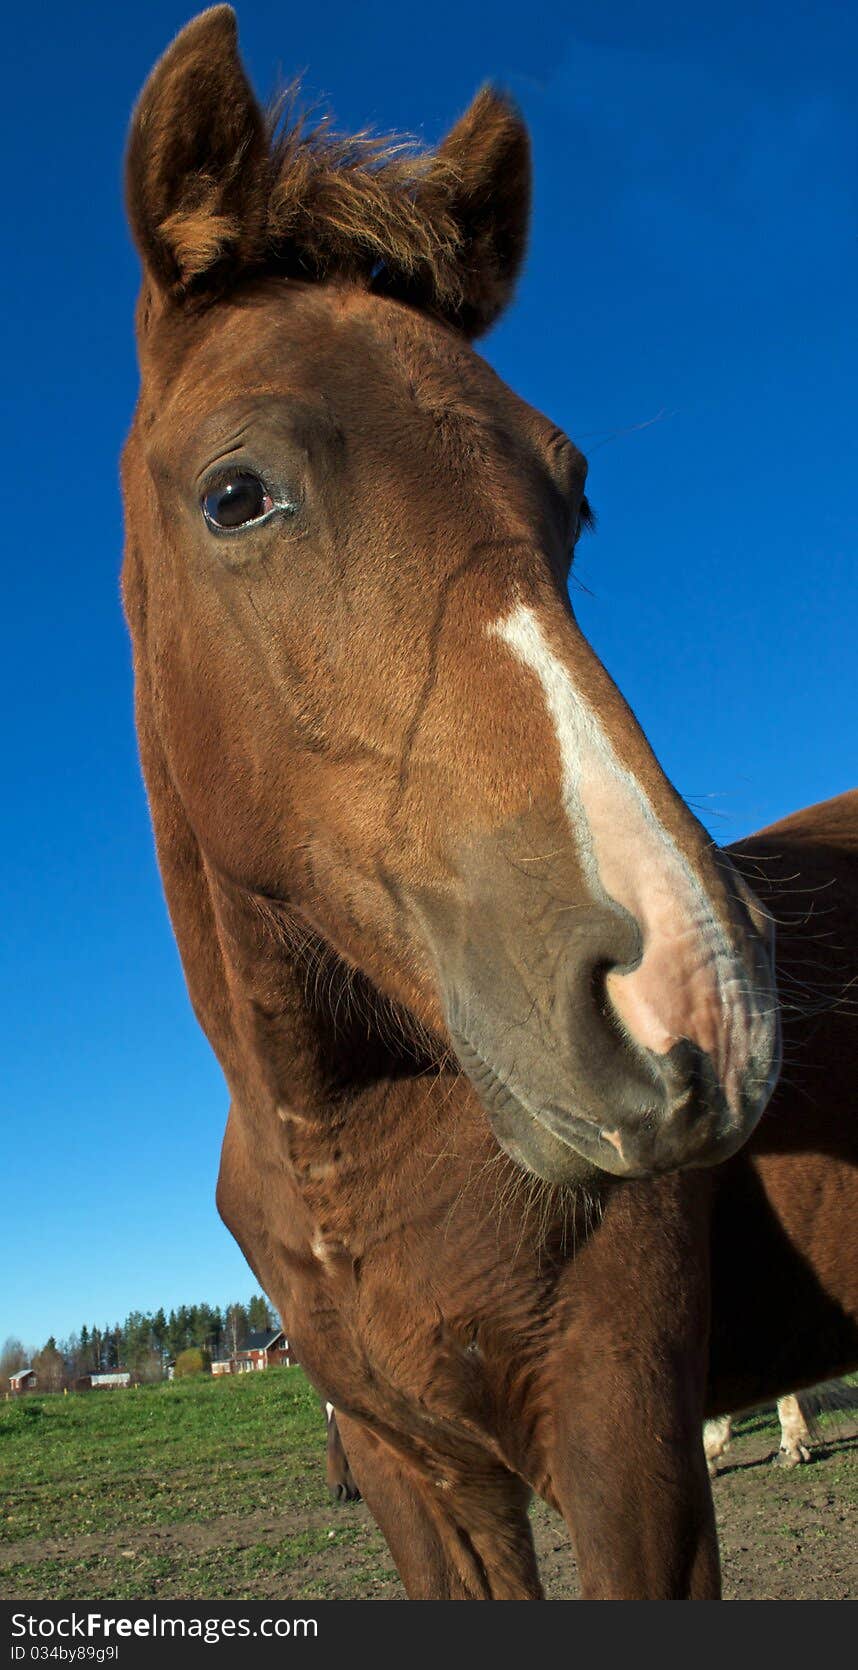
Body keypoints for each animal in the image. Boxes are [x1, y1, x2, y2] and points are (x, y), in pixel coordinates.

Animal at [121, 13, 854, 1603]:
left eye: (571, 496)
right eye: (235, 495)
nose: (693, 992)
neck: (345, 1140)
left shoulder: (623, 1441)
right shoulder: (418, 1476)